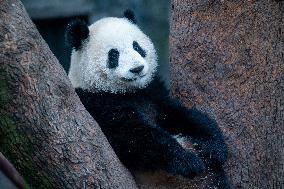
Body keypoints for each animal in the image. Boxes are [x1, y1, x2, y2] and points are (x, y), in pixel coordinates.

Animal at [65, 9, 227, 178]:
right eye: (114, 55)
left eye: (137, 46)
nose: (137, 69)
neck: (126, 91)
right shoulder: (97, 103)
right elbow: (133, 136)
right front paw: (188, 161)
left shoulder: (153, 92)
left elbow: (181, 115)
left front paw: (215, 146)